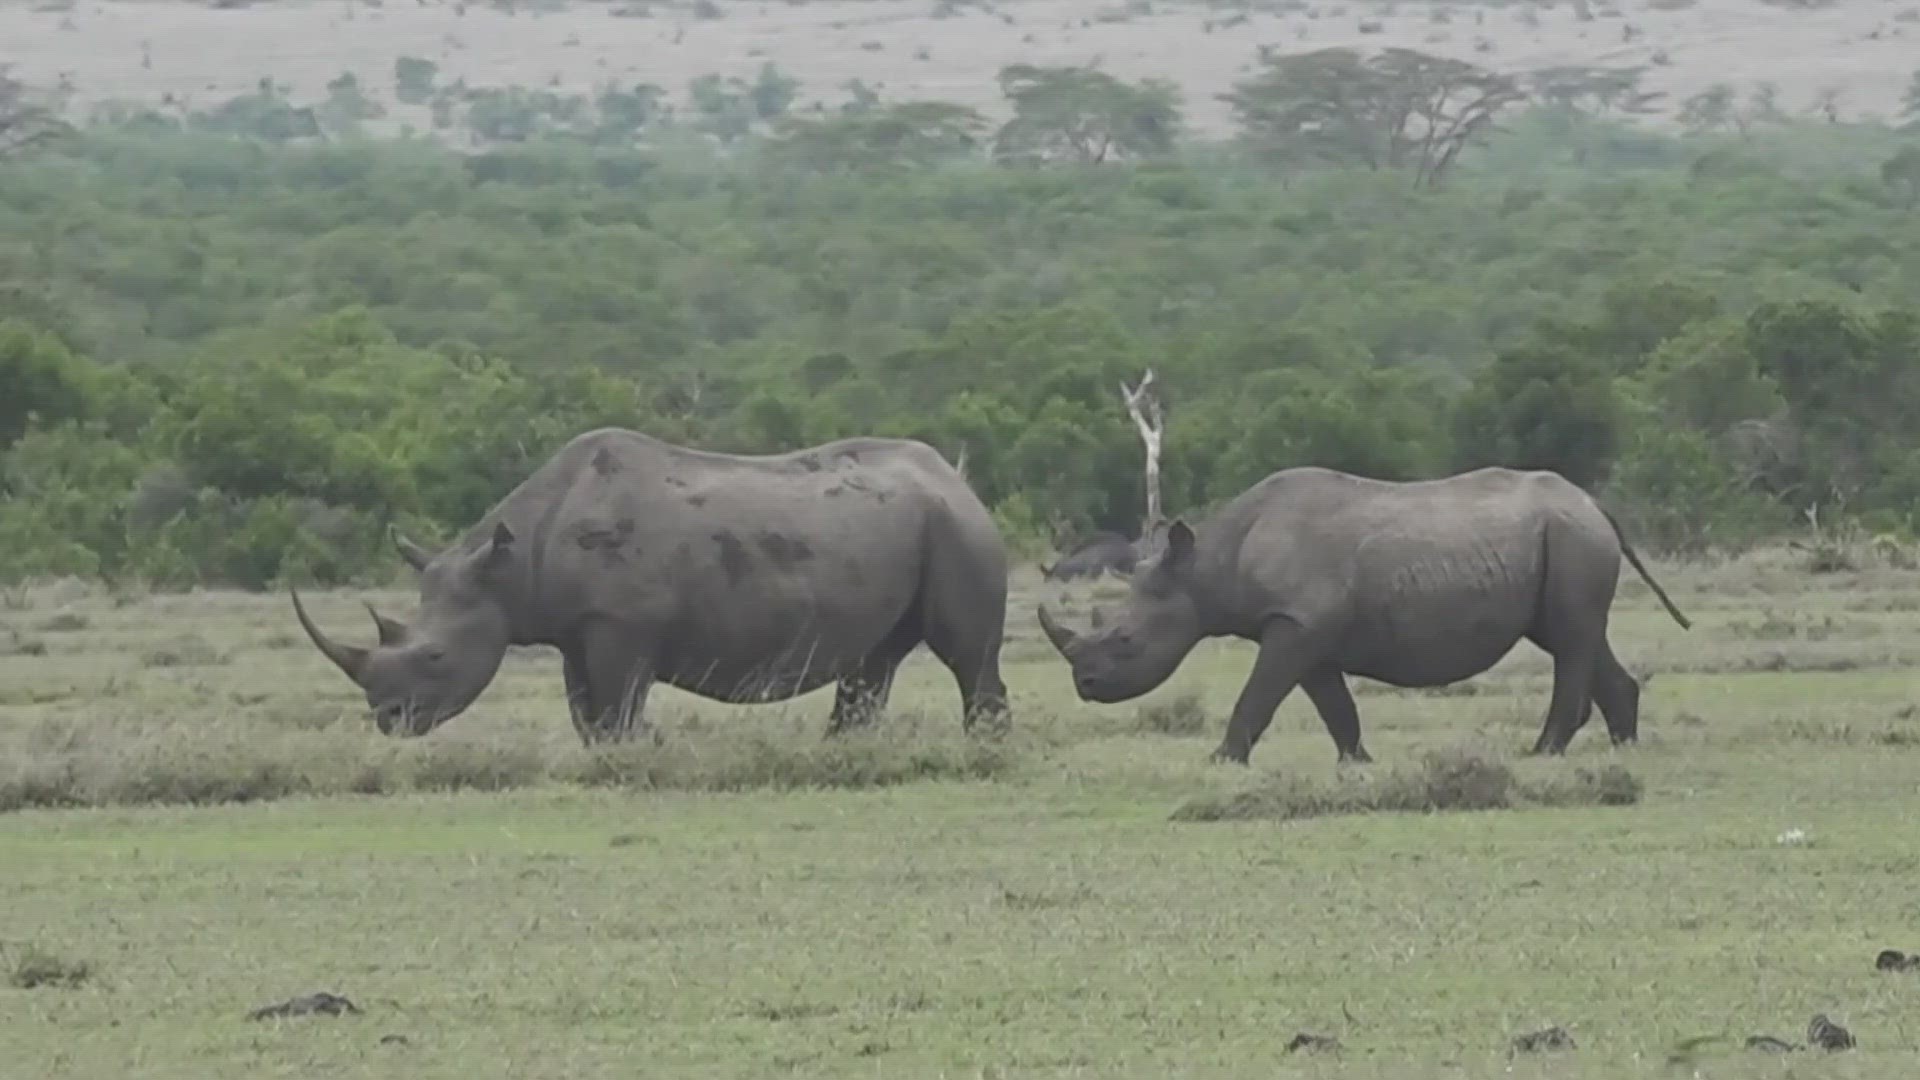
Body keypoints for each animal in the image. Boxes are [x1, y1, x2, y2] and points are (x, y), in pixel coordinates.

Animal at [291, 424, 1013, 745]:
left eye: (436, 657)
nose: (388, 720)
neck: (513, 563)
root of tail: (955, 477)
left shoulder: (621, 627)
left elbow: (616, 708)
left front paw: (635, 757)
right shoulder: (576, 633)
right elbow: (587, 714)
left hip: (957, 529)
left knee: (966, 654)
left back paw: (981, 750)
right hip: (907, 525)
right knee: (874, 660)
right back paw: (844, 750)